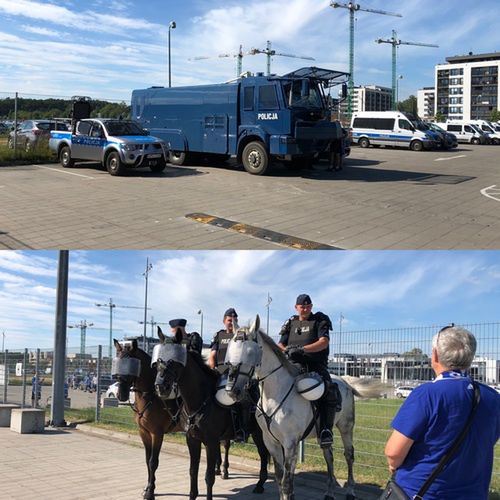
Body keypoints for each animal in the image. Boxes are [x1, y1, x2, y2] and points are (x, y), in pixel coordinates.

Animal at [154, 328, 270, 500]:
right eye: (157, 361)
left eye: (174, 361)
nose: (160, 387)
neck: (200, 400)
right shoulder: (192, 440)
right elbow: (193, 471)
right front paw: (192, 495)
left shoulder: (211, 441)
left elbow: (209, 476)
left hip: (258, 434)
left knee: (263, 454)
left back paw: (260, 484)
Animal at [225, 316, 384, 500]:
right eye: (230, 350)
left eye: (250, 352)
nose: (231, 390)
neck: (274, 395)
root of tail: (346, 381)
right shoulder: (271, 442)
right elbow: (280, 478)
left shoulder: (290, 443)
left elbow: (286, 482)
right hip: (324, 432)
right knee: (329, 456)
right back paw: (329, 492)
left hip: (346, 427)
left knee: (349, 455)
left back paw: (350, 491)